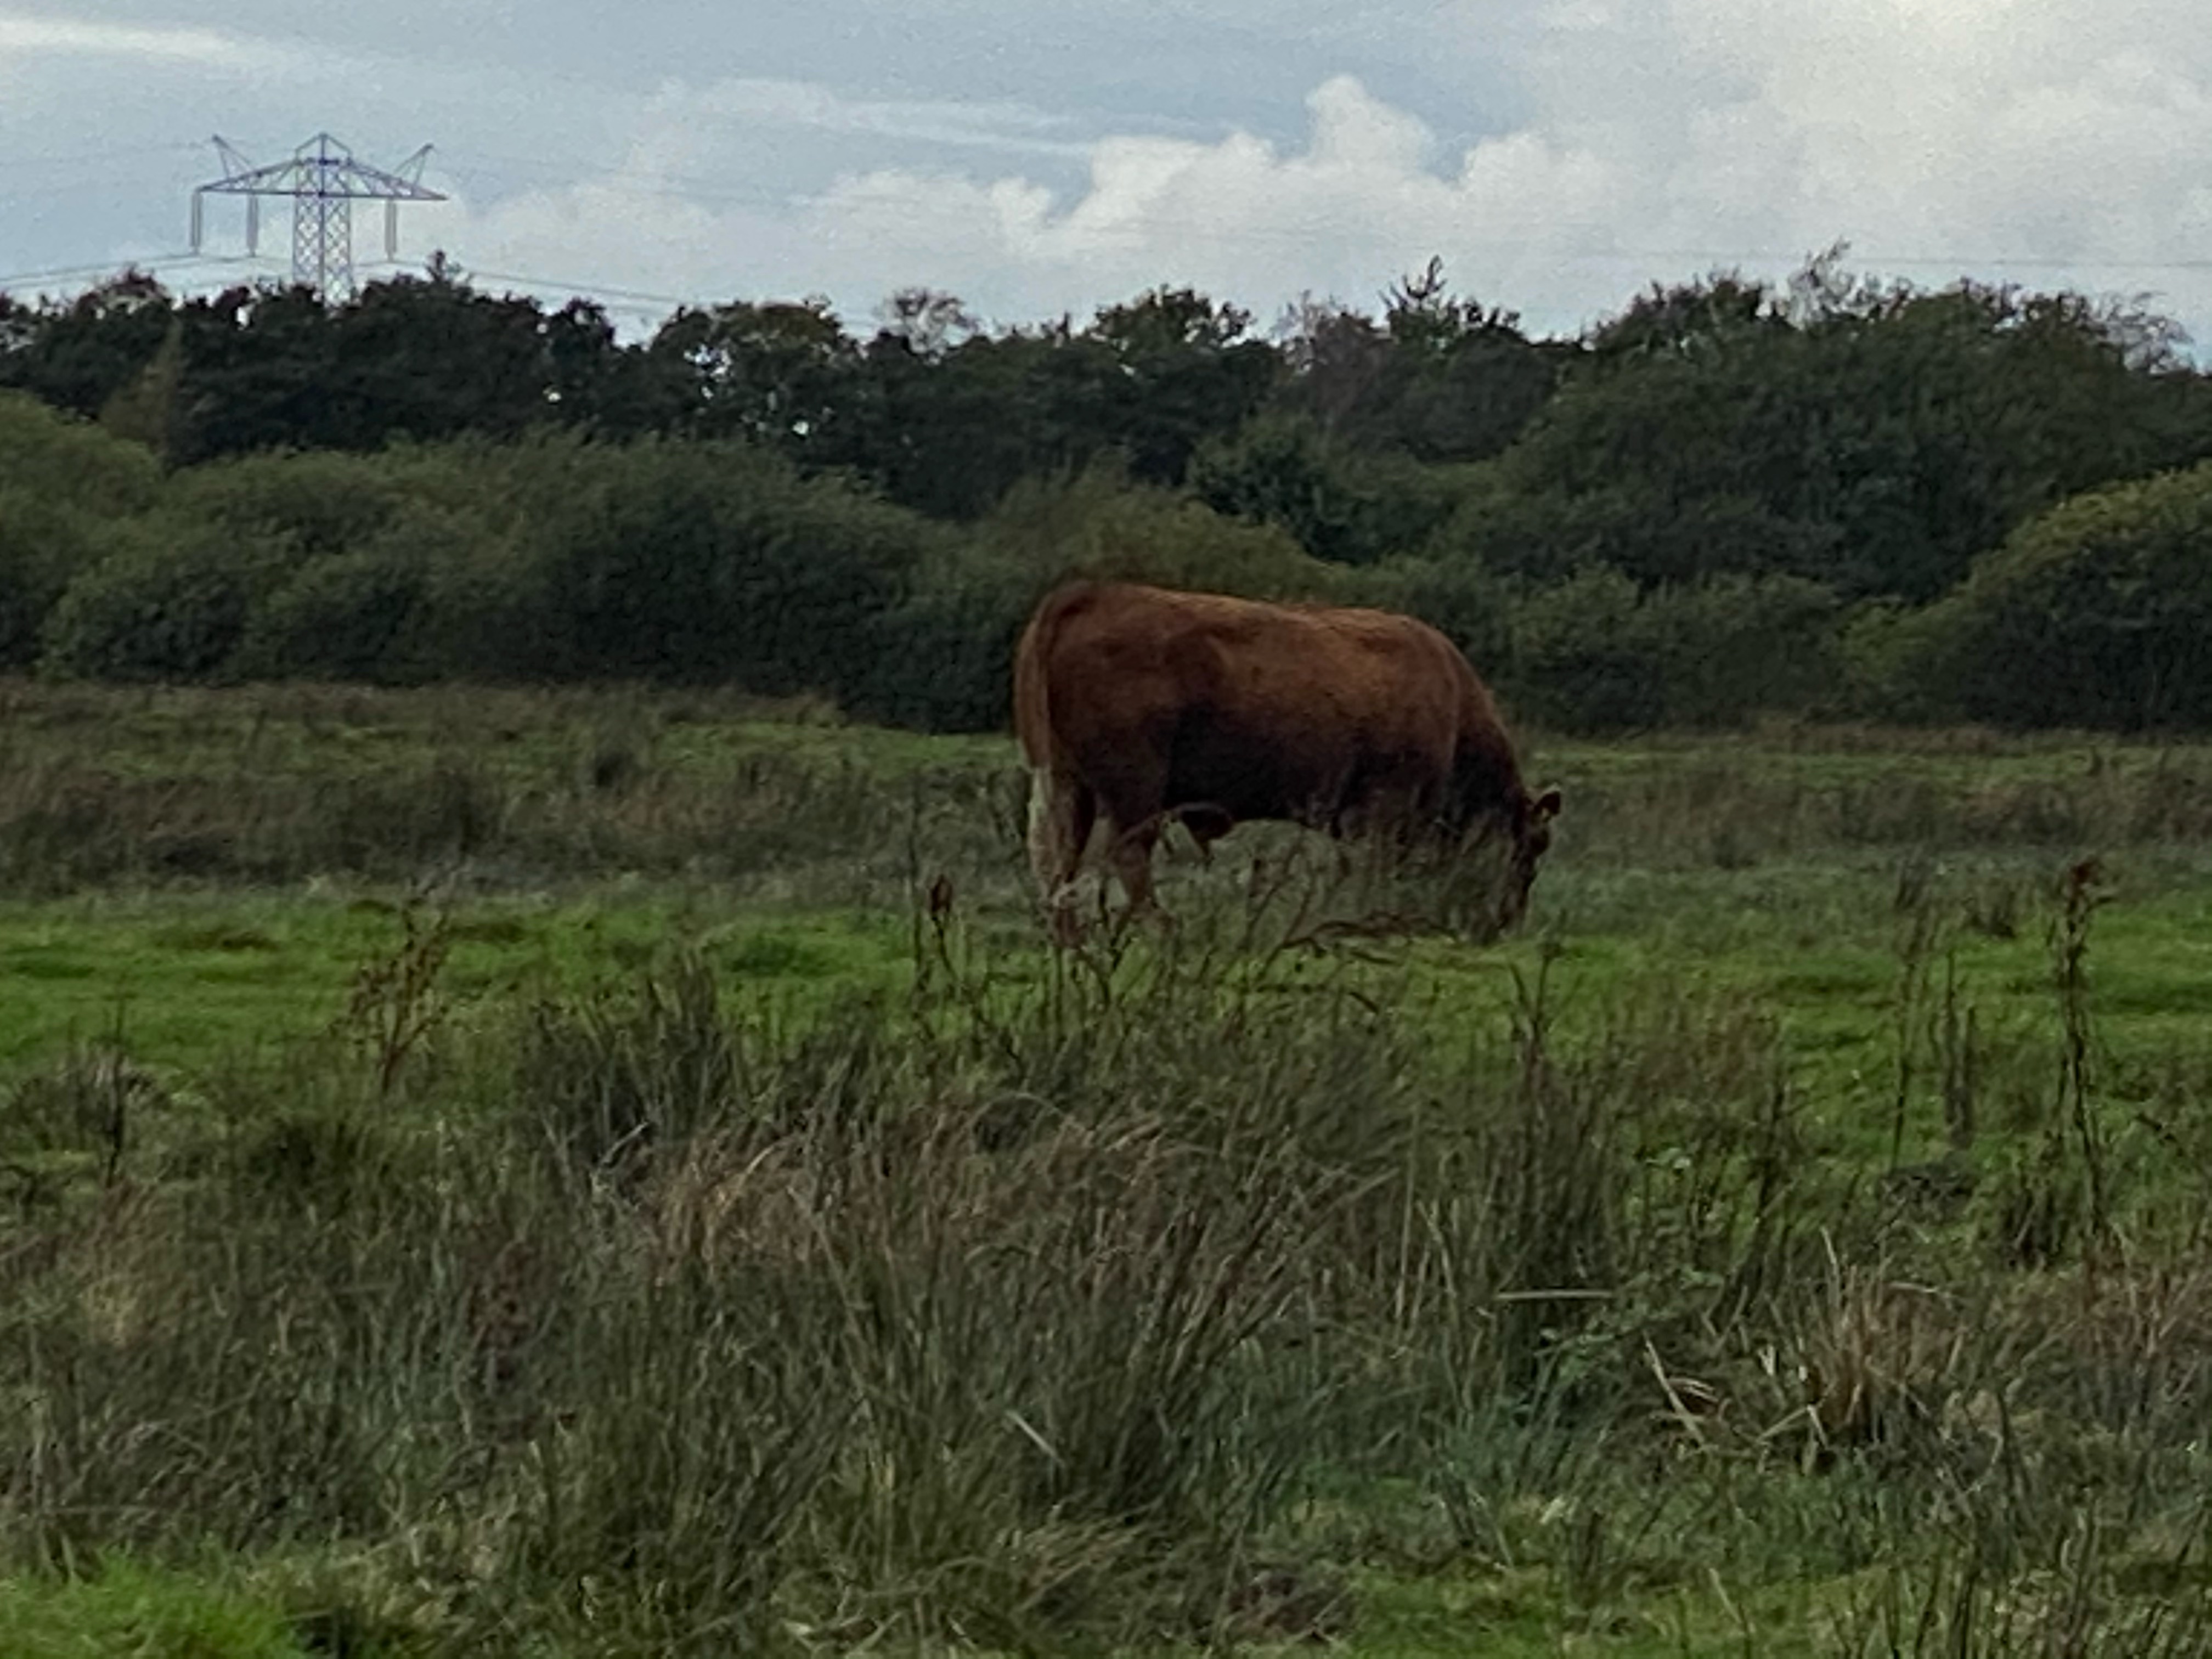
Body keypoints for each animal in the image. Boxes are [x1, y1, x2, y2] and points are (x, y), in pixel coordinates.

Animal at [1013, 579, 1566, 938]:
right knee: (1127, 854)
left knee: (1058, 857)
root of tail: (1088, 595)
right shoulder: (1386, 810)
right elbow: (1376, 870)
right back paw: (1161, 925)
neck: (1453, 706)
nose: (1509, 922)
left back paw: (1069, 935)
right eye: (1533, 845)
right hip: (1134, 790)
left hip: (1068, 785)